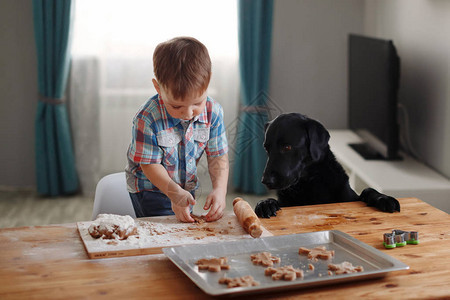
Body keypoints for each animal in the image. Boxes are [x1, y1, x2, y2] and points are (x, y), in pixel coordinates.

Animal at [255, 112, 400, 218]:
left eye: (287, 147)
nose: (265, 181)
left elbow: (367, 190)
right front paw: (265, 203)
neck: (308, 184)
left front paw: (384, 198)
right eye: (266, 148)